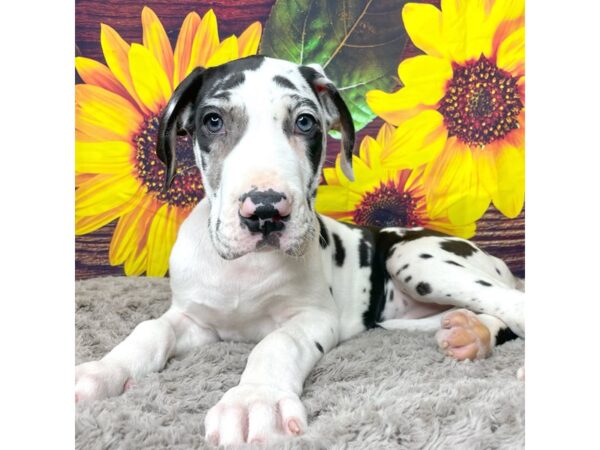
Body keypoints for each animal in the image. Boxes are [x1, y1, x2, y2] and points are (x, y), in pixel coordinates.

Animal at [75, 56, 524, 446]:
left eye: (305, 121)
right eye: (212, 120)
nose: (265, 211)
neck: (245, 272)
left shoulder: (313, 317)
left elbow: (276, 343)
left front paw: (255, 400)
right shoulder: (193, 318)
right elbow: (150, 329)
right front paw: (102, 371)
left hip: (414, 257)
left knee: (512, 303)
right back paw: (470, 333)